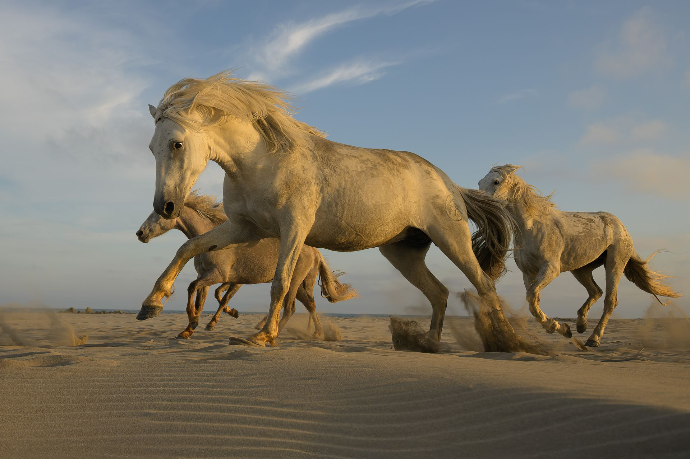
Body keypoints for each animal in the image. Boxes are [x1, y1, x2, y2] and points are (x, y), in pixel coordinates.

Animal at [137, 190, 356, 339]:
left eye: (157, 215)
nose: (140, 233)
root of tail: (315, 251)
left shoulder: (219, 276)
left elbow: (196, 289)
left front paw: (199, 322)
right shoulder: (208, 277)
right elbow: (202, 298)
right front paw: (191, 327)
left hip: (294, 282)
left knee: (292, 308)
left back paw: (272, 333)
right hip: (300, 285)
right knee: (308, 304)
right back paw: (313, 333)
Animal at [478, 165, 680, 347]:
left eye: (496, 181)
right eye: (480, 183)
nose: (481, 204)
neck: (532, 226)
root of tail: (622, 228)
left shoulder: (550, 269)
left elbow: (532, 297)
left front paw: (558, 327)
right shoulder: (528, 273)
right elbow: (532, 302)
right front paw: (563, 329)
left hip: (614, 263)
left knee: (610, 300)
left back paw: (594, 338)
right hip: (581, 269)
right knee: (596, 291)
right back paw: (581, 325)